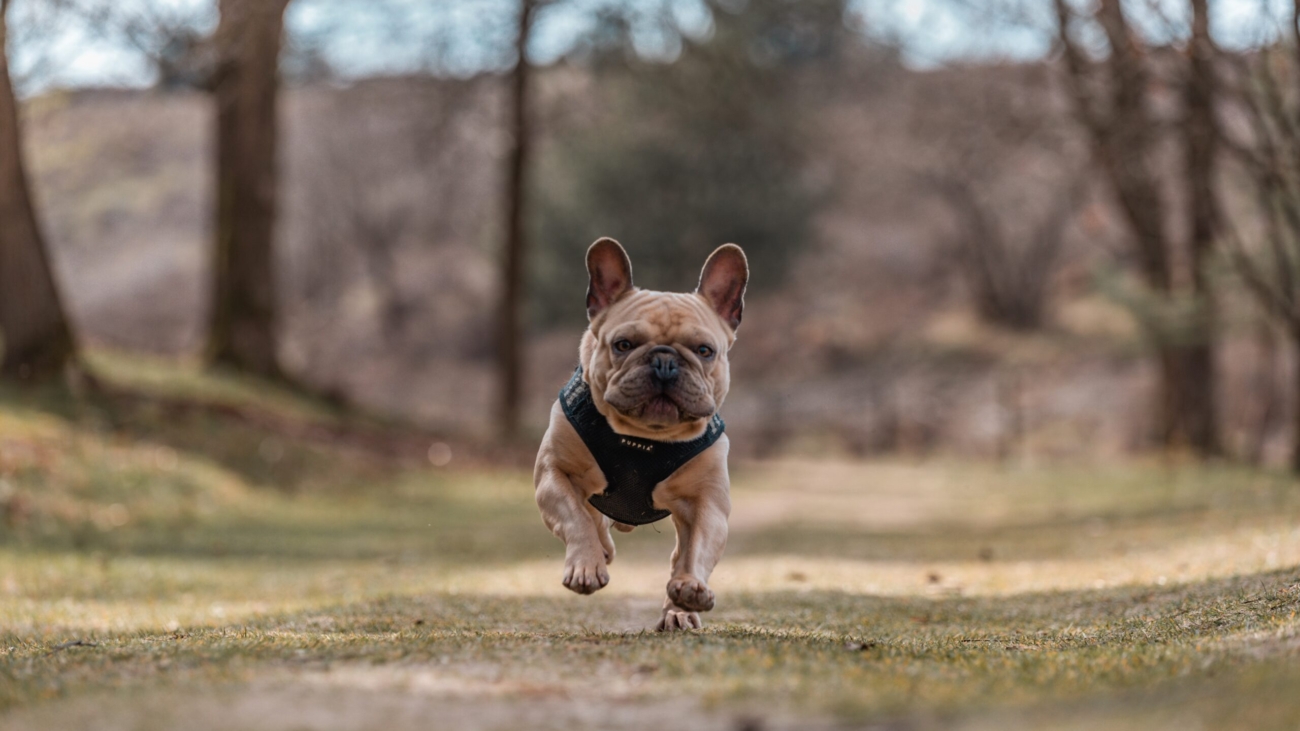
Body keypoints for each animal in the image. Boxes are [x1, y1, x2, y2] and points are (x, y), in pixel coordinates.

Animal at [533, 238, 748, 626]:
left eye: (705, 351)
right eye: (623, 344)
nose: (664, 362)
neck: (646, 437)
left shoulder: (707, 502)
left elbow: (698, 549)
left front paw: (690, 587)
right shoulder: (554, 474)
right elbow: (575, 517)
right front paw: (586, 565)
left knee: (678, 555)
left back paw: (679, 611)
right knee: (594, 520)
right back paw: (600, 552)